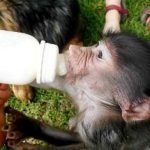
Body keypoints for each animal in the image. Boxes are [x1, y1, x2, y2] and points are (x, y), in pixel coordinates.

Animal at [2, 30, 150, 150]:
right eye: (97, 45)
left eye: (100, 55)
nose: (74, 48)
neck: (91, 98)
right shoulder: (75, 83)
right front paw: (27, 126)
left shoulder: (97, 121)